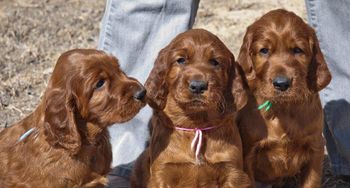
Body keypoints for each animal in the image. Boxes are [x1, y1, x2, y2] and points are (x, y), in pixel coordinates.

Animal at [131, 28, 252, 187]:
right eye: (181, 60)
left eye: (215, 62)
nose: (198, 86)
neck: (196, 125)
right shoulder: (161, 172)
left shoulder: (233, 172)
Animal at [237, 9, 332, 188]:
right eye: (264, 50)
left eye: (297, 50)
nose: (282, 84)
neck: (283, 108)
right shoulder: (248, 153)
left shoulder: (315, 147)